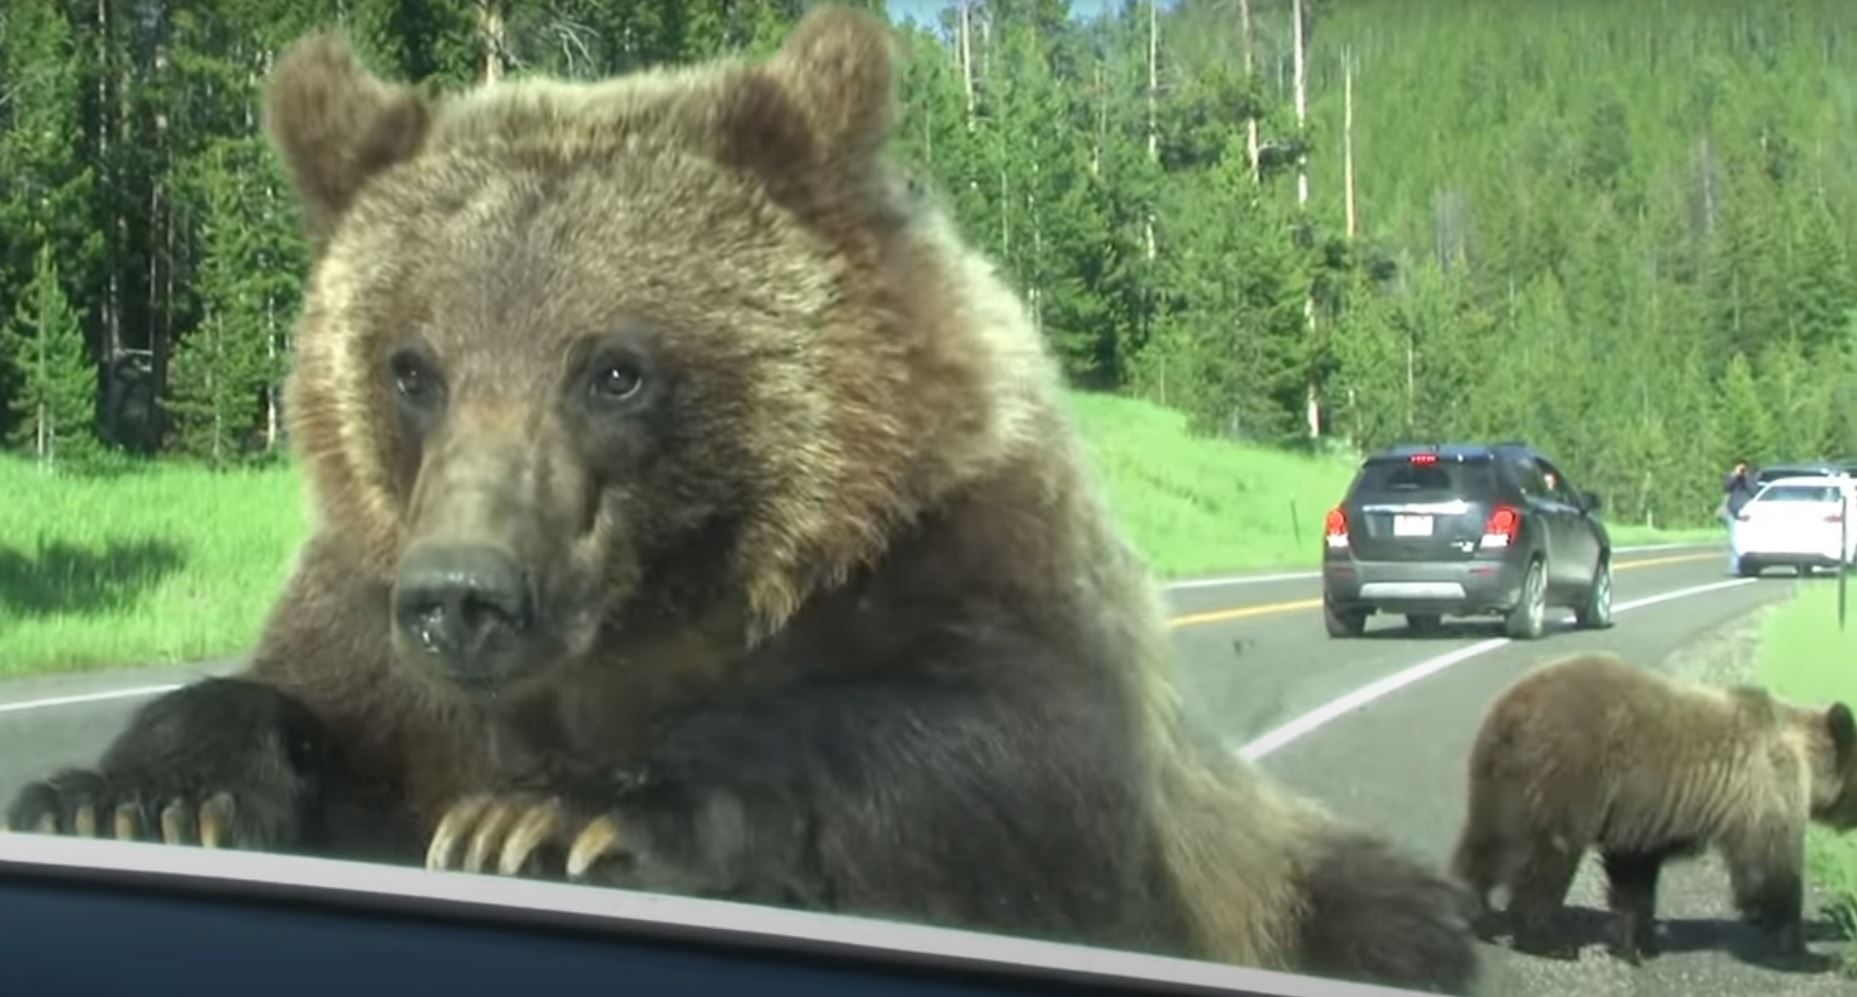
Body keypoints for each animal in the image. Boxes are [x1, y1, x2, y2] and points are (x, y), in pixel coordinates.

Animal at [3, 7, 1479, 992]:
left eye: (614, 365)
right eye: (412, 365)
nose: (464, 597)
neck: (660, 605)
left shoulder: (962, 544)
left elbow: (1002, 751)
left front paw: (561, 812)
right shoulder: (378, 618)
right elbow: (307, 703)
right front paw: (128, 797)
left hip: (1280, 872)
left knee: (1382, 904)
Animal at [1449, 650, 1857, 965]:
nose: (1851, 823)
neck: (1806, 756)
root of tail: (1513, 708)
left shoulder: (1645, 816)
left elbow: (1634, 874)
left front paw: (1636, 942)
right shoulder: (1765, 786)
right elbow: (1769, 868)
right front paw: (1805, 949)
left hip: (1498, 779)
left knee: (1487, 841)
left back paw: (1476, 911)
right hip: (1563, 773)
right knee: (1546, 858)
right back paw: (1548, 941)